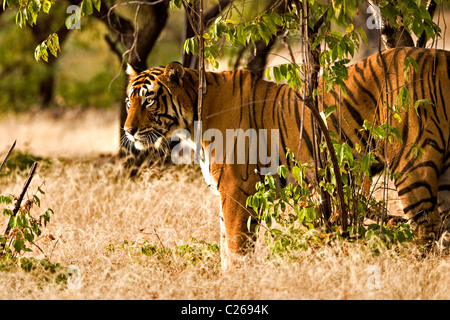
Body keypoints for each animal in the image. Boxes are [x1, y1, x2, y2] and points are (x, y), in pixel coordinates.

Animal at [124, 47, 450, 270]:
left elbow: (235, 246)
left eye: (149, 100)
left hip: (413, 162)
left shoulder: (236, 189)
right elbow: (226, 243)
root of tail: (438, 54)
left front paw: (234, 282)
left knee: (427, 227)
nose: (128, 130)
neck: (192, 120)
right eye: (129, 101)